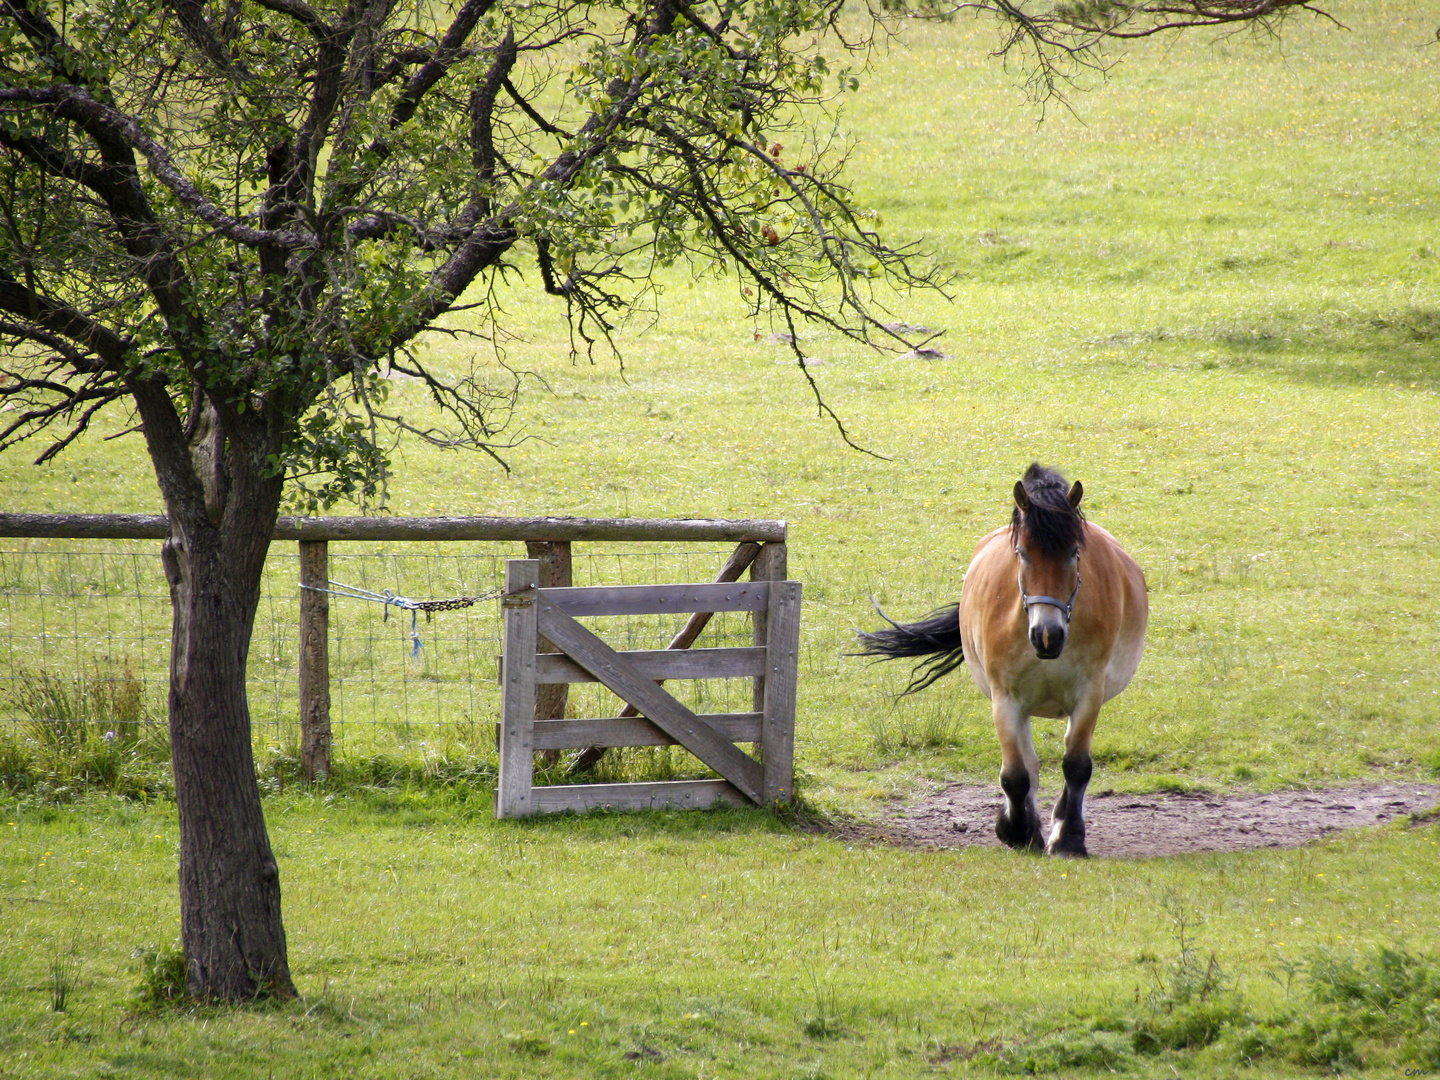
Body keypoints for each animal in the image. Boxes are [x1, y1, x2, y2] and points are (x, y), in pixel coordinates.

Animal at [852, 466, 1146, 864]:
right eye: (1023, 553)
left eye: (1074, 552)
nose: (1047, 635)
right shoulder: (1006, 699)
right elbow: (1016, 775)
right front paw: (1017, 832)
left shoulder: (1089, 694)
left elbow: (1076, 766)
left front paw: (1068, 839)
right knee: (1029, 764)